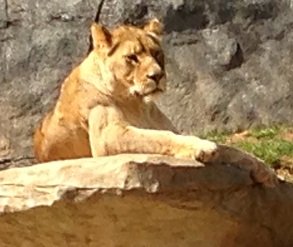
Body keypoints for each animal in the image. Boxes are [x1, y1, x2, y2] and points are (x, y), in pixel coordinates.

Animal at [33, 18, 218, 163]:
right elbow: (158, 136)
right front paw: (202, 146)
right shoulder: (108, 136)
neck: (137, 104)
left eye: (156, 53)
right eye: (132, 58)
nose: (157, 75)